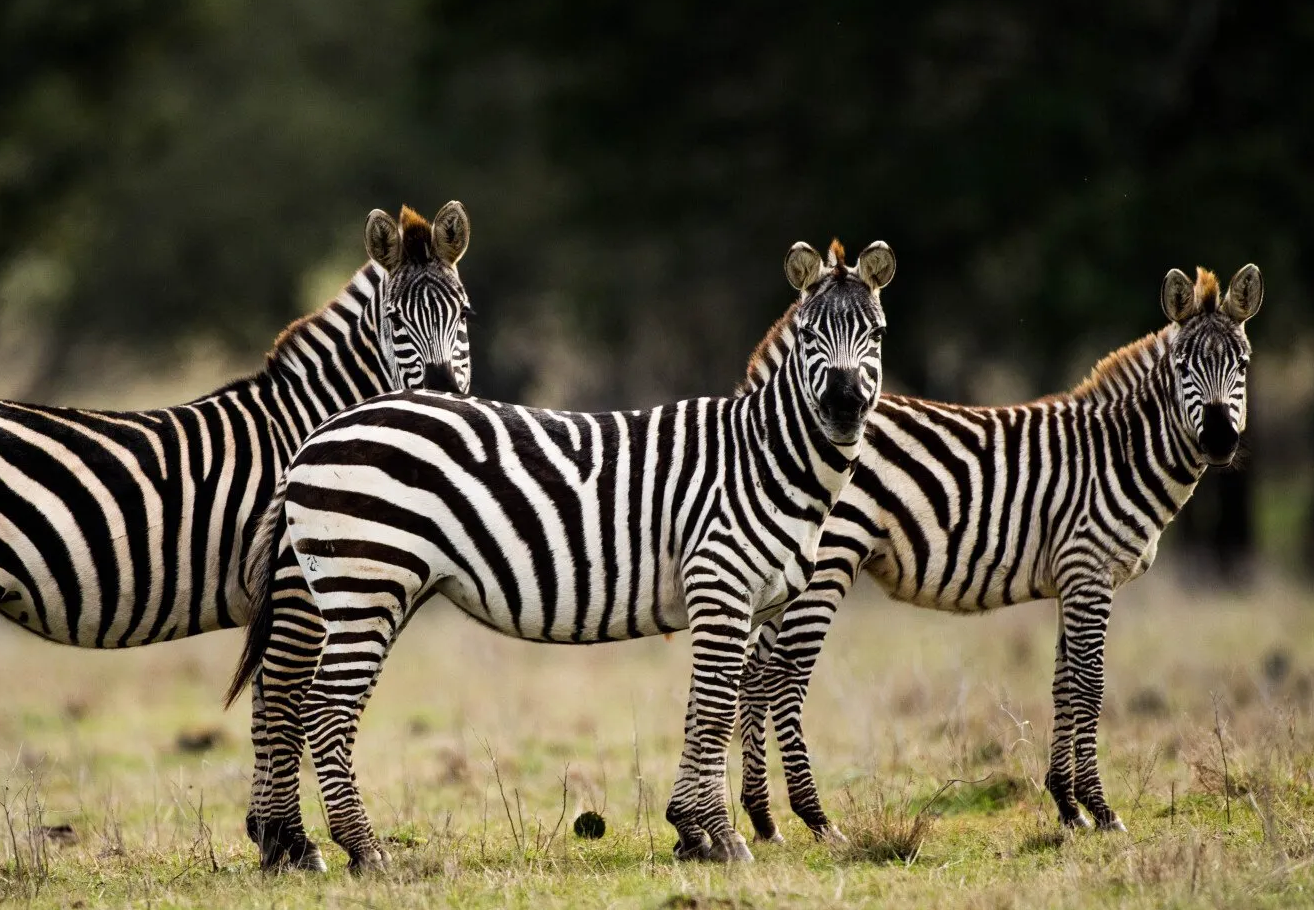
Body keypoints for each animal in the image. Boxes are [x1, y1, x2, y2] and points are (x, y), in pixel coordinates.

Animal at [224, 238, 897, 871]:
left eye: (877, 333)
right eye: (809, 335)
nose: (842, 406)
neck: (765, 456)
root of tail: (317, 435)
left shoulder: (756, 603)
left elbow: (712, 708)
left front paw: (691, 831)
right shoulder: (719, 581)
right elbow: (713, 708)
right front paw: (723, 837)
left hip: (377, 594)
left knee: (325, 704)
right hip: (364, 581)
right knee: (323, 707)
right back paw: (363, 850)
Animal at [735, 263, 1263, 842]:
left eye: (1241, 364)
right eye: (1184, 366)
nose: (1220, 440)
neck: (1122, 452)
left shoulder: (1070, 580)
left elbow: (1063, 684)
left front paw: (1068, 805)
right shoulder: (1089, 571)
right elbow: (1091, 685)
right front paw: (1101, 810)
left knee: (754, 671)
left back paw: (763, 818)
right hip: (830, 557)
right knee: (784, 673)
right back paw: (817, 818)